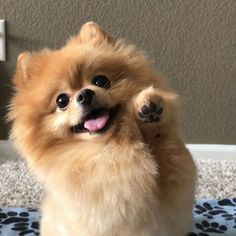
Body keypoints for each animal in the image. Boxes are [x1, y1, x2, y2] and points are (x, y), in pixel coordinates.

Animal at [8, 21, 195, 234]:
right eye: (62, 100)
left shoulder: (178, 189)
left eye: (100, 81)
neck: (112, 146)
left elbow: (167, 151)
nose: (85, 94)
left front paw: (149, 110)